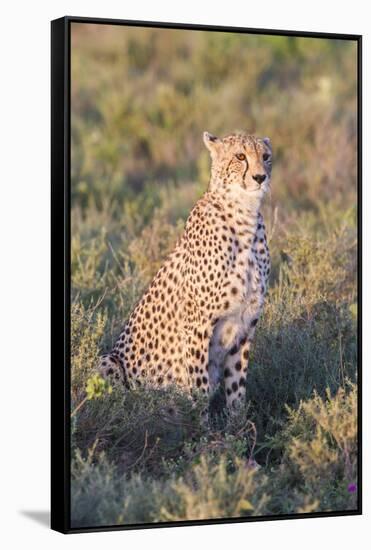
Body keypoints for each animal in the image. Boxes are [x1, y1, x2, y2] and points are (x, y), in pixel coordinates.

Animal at [99, 133, 274, 410]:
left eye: (265, 156)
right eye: (240, 156)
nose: (260, 177)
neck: (244, 216)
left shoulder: (245, 325)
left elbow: (237, 392)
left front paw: (239, 423)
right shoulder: (198, 325)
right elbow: (199, 390)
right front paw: (199, 422)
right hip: (108, 362)